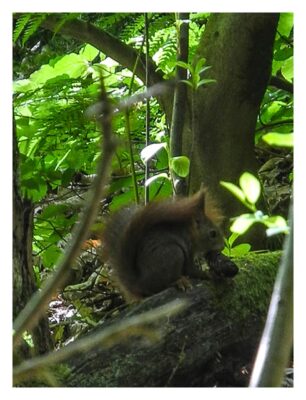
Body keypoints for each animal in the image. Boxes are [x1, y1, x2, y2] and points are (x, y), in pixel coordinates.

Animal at [101, 190, 238, 300]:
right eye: (213, 233)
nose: (222, 247)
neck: (190, 233)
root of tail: (141, 283)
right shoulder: (188, 248)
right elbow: (191, 269)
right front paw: (209, 275)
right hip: (173, 253)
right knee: (163, 285)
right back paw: (179, 281)